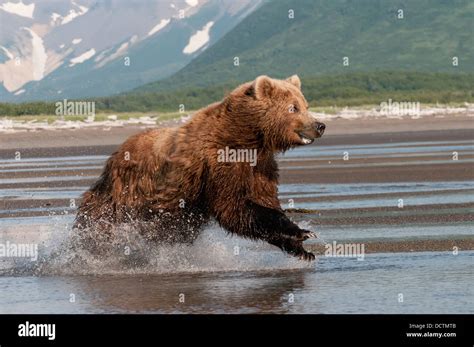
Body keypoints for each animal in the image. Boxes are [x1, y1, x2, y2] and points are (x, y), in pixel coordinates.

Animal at [74, 75, 326, 260]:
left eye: (306, 105)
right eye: (293, 108)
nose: (320, 125)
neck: (249, 139)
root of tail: (114, 157)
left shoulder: (260, 167)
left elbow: (263, 201)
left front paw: (301, 249)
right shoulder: (220, 163)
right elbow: (234, 207)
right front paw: (302, 231)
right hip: (126, 194)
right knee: (100, 223)